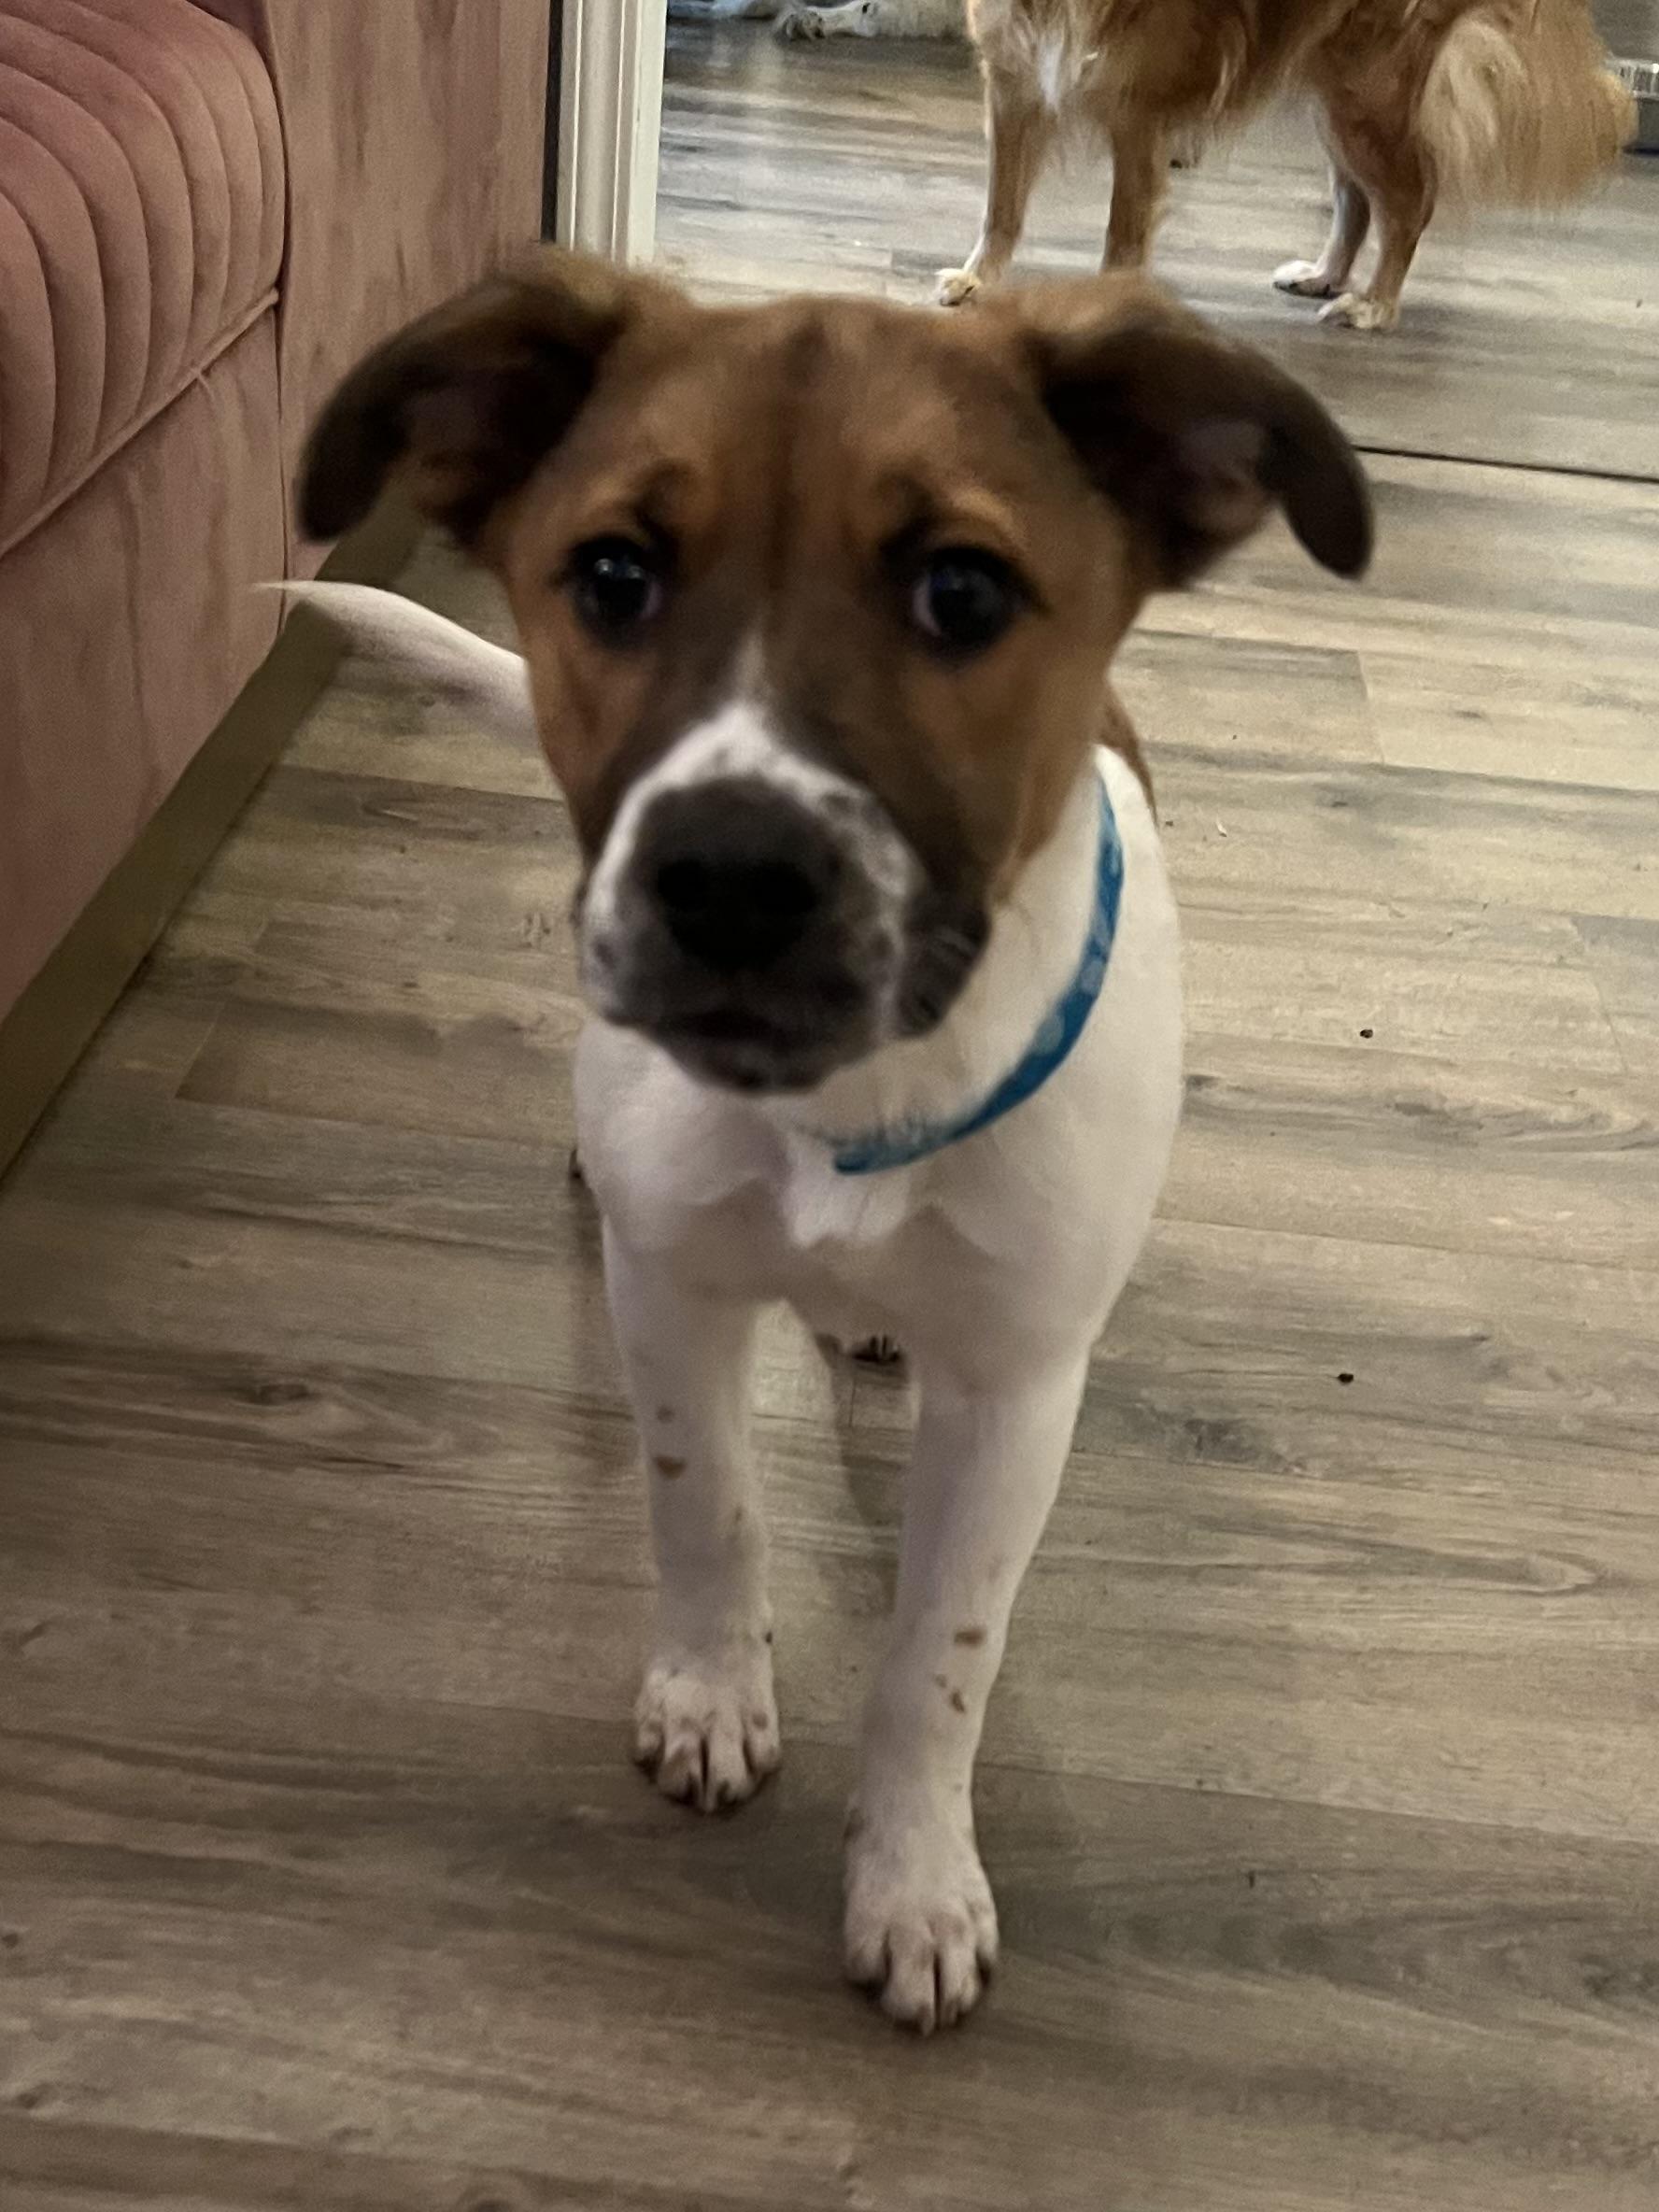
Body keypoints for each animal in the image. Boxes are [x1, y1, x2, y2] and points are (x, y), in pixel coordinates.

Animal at [293, 249, 1370, 2029]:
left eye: (963, 593)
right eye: (612, 574)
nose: (729, 877)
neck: (848, 1108)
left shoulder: (1017, 1388)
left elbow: (940, 1662)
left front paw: (914, 1878)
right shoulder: (673, 1293)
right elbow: (705, 1502)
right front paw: (712, 1691)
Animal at [943, 0, 1634, 330]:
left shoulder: (1138, 115)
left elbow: (1123, 232)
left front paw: (1112, 305)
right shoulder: (1011, 89)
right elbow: (1001, 207)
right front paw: (978, 278)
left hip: (1368, 96)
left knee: (1409, 203)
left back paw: (1373, 305)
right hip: (1333, 98)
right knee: (1357, 202)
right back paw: (1325, 275)